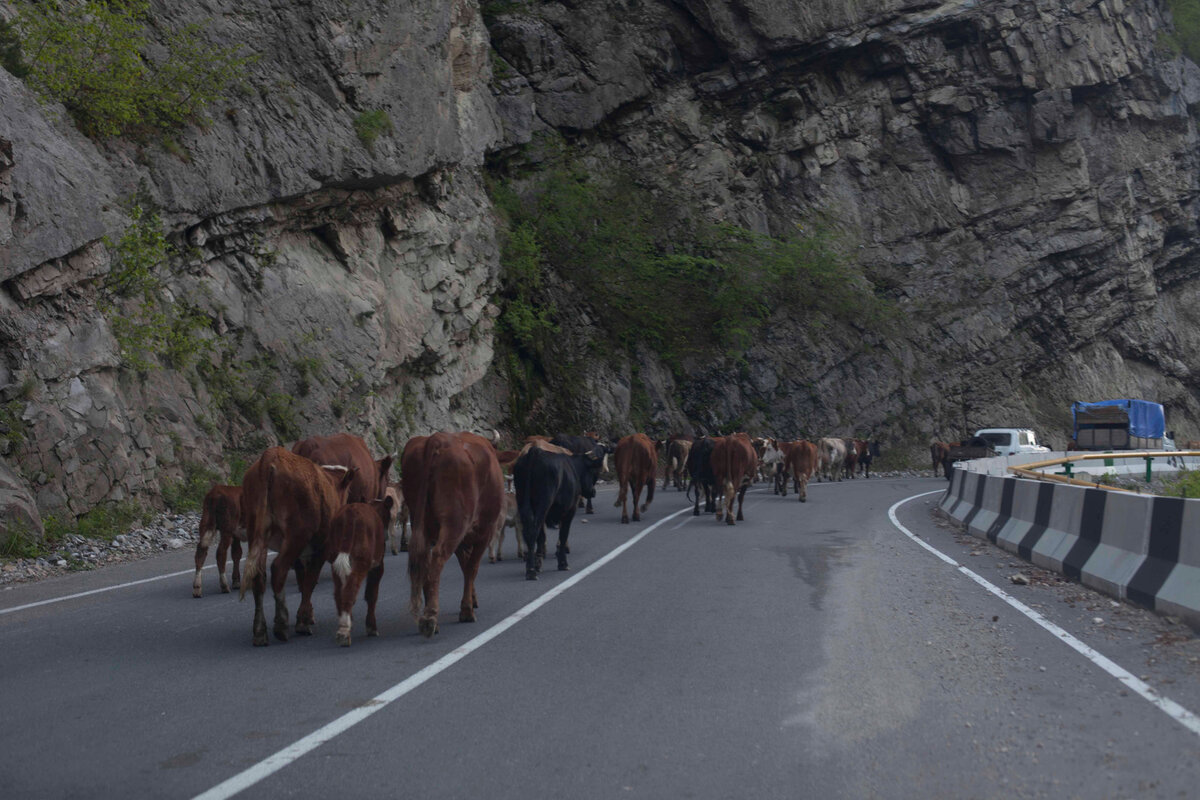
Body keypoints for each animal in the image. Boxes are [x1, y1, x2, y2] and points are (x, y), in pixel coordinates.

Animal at [238, 448, 355, 647]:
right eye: (347, 493)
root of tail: (271, 456)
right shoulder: (322, 547)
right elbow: (310, 580)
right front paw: (303, 621)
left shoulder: (302, 553)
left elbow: (302, 578)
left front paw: (307, 615)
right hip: (297, 534)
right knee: (278, 568)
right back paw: (281, 624)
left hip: (258, 532)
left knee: (259, 575)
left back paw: (260, 631)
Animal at [324, 496, 393, 647]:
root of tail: (350, 512)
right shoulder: (378, 565)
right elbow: (372, 594)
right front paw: (371, 627)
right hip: (361, 560)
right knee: (350, 589)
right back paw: (344, 631)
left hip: (334, 557)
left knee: (339, 591)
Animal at [400, 431, 499, 638]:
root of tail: (438, 438)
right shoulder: (485, 532)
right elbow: (471, 568)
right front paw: (467, 609)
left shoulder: (462, 542)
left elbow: (465, 564)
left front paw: (472, 599)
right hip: (455, 524)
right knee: (437, 558)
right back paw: (430, 618)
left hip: (422, 523)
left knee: (425, 561)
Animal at [511, 443, 600, 582]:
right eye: (591, 472)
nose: (593, 491)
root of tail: (535, 451)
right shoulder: (569, 511)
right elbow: (563, 535)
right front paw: (563, 563)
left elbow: (542, 538)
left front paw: (539, 562)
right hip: (543, 502)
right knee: (533, 530)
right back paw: (531, 571)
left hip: (522, 501)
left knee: (529, 531)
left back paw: (532, 566)